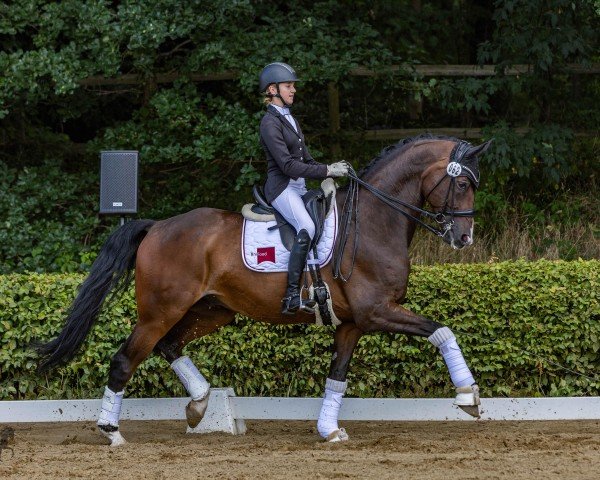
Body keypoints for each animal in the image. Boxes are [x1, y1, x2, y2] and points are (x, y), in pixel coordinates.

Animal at [36, 133, 492, 444]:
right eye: (462, 184)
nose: (464, 238)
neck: (374, 221)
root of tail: (158, 226)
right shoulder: (377, 310)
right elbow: (442, 330)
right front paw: (468, 397)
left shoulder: (352, 323)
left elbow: (337, 376)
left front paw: (328, 430)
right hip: (159, 311)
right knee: (125, 360)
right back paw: (112, 432)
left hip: (212, 310)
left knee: (169, 345)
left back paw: (200, 404)